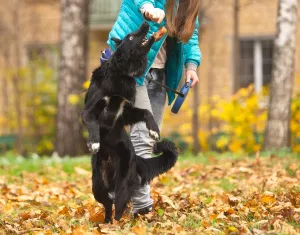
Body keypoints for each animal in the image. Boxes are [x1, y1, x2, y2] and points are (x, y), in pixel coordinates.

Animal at [81, 22, 178, 222]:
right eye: (131, 37)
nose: (146, 23)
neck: (121, 73)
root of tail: (137, 160)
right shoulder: (89, 111)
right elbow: (93, 124)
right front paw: (94, 142)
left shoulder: (125, 111)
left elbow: (146, 112)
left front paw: (154, 130)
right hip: (97, 185)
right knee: (108, 205)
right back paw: (106, 223)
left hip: (123, 182)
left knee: (119, 206)